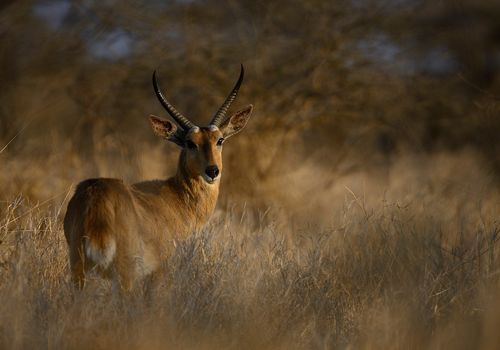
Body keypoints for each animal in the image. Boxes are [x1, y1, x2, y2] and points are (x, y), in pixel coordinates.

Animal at [64, 65, 254, 290]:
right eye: (190, 142)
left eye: (220, 140)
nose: (212, 171)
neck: (178, 198)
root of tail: (96, 193)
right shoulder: (163, 270)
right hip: (125, 271)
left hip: (78, 267)